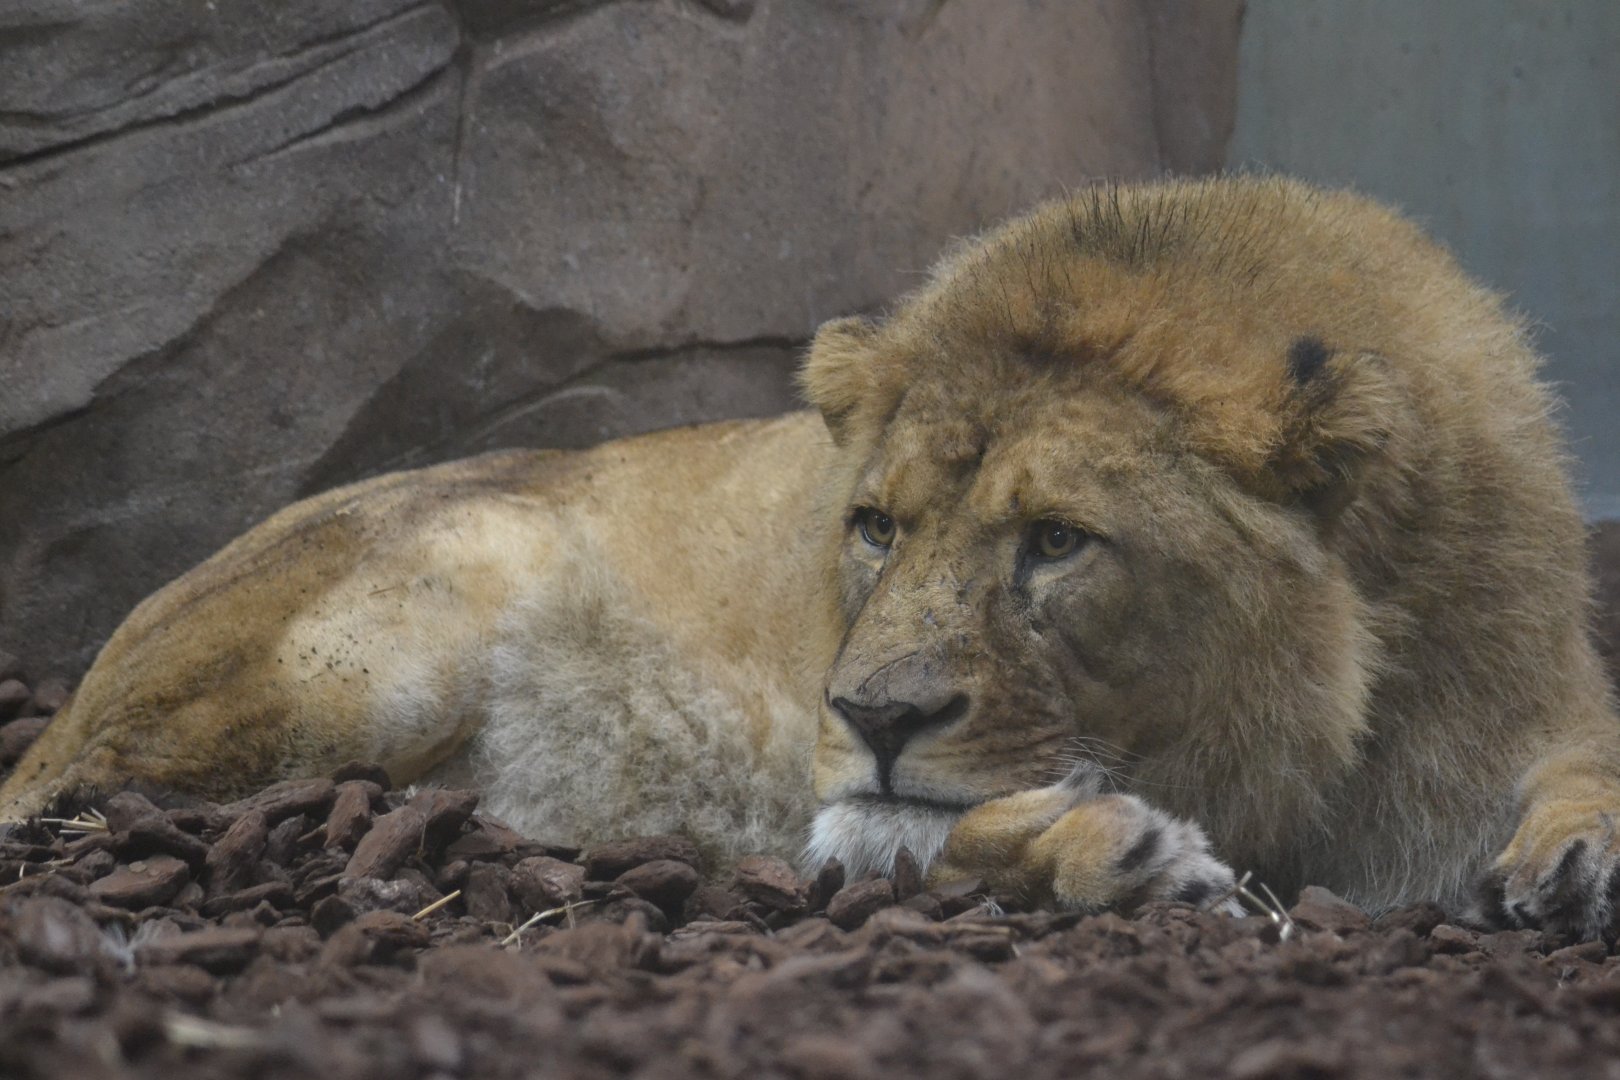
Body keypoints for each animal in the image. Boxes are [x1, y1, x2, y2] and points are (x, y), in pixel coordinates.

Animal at [5, 176, 1618, 936]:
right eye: (877, 525)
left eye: (1057, 543)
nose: (878, 713)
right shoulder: (834, 794)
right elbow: (899, 834)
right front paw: (1111, 849)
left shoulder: (1527, 687)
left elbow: (1585, 755)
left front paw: (1575, 858)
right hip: (433, 594)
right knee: (125, 799)